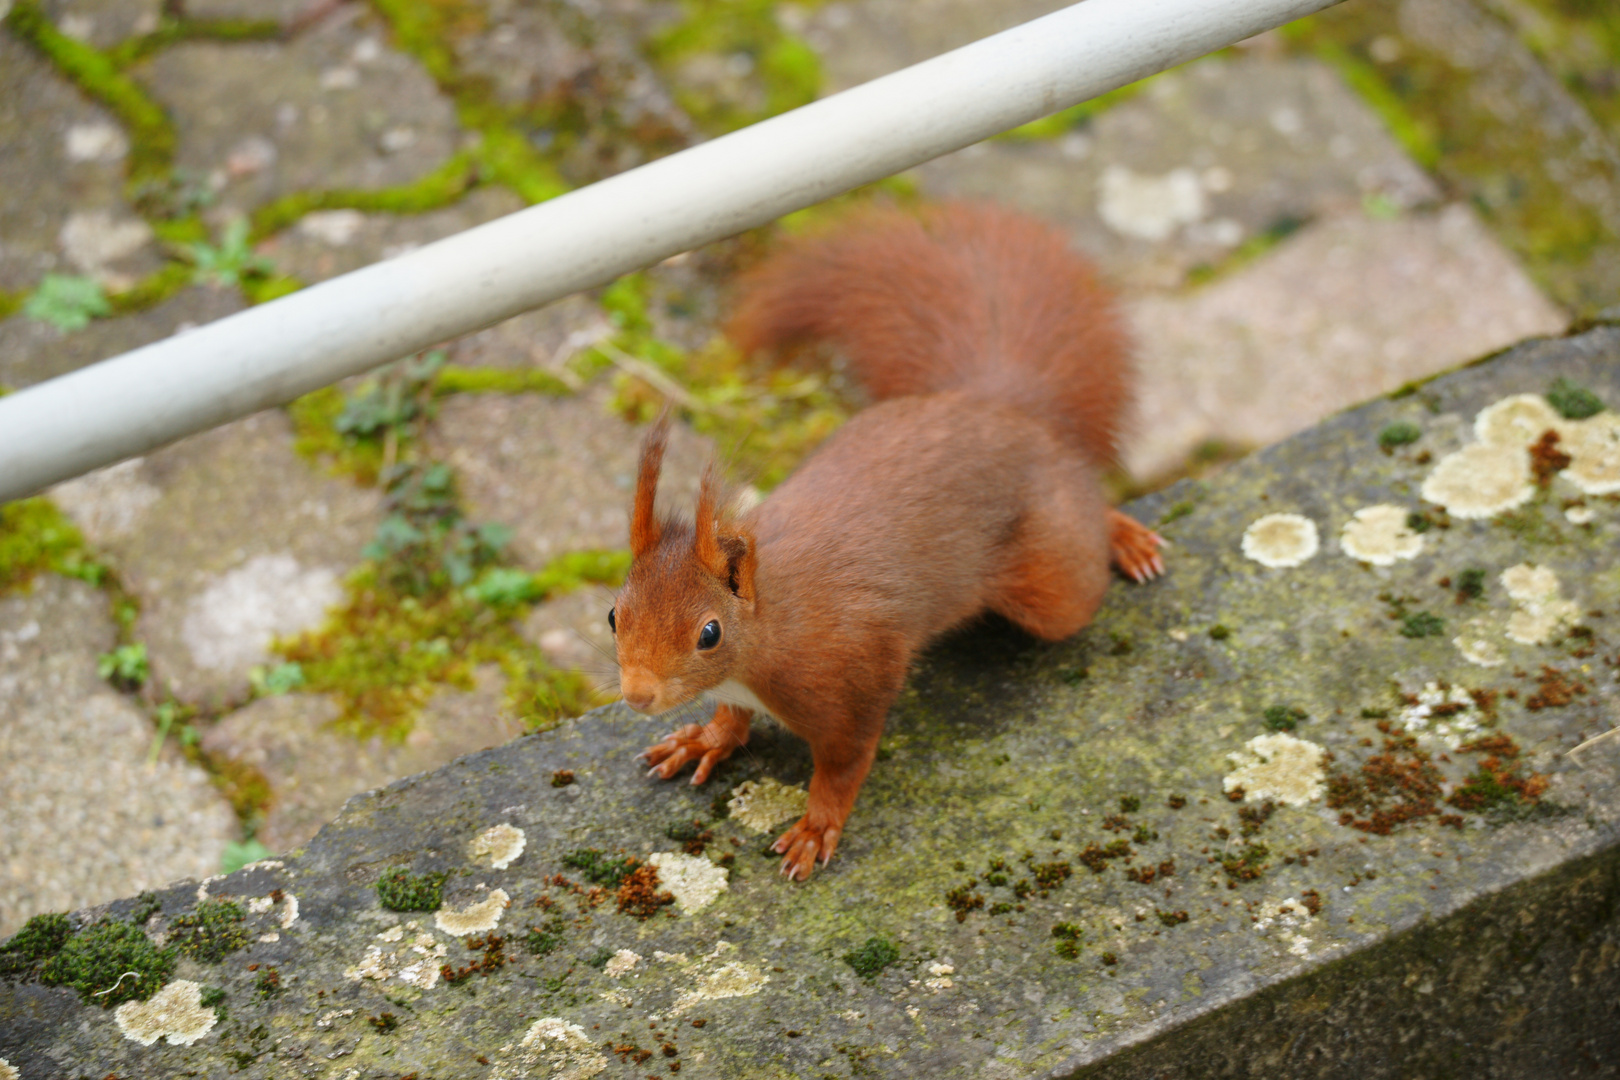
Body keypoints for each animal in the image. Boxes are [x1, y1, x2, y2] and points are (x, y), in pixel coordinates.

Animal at [605, 200, 1153, 880]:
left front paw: (816, 827)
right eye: (612, 615)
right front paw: (705, 737)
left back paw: (1124, 536)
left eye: (710, 633)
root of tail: (1004, 409)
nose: (637, 694)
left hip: (1053, 583)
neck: (771, 627)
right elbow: (732, 716)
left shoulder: (856, 678)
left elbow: (844, 764)